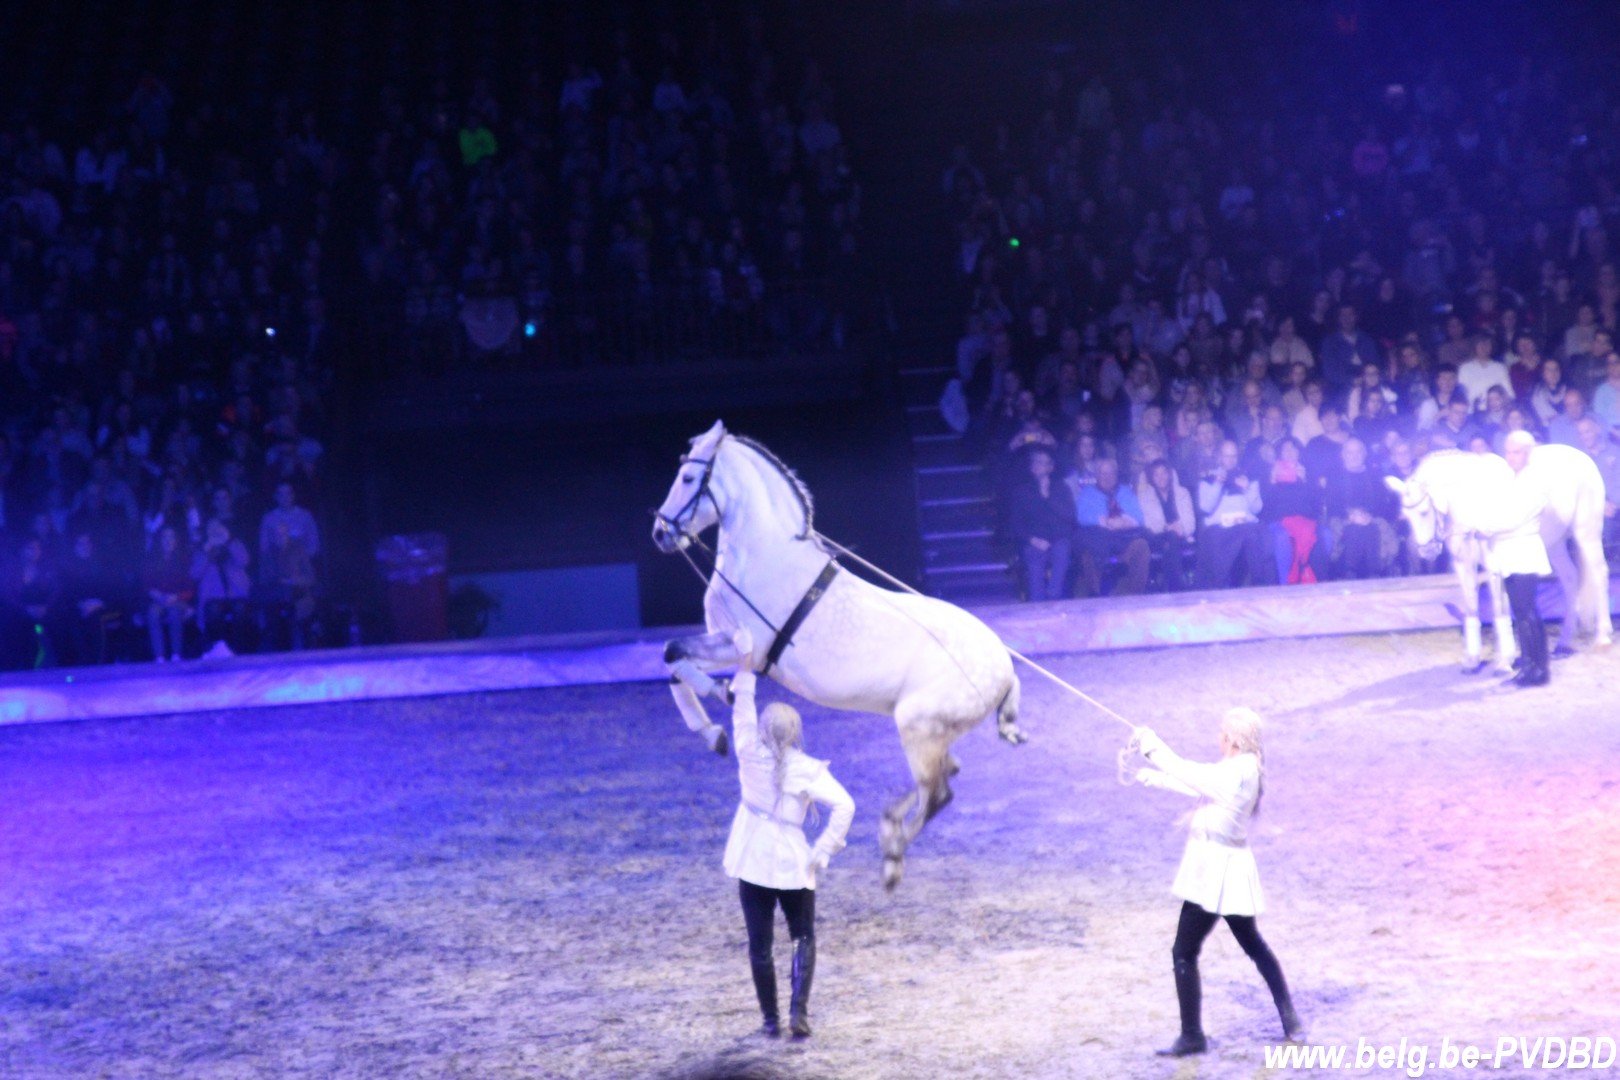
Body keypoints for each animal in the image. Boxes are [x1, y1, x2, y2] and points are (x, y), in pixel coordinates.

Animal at [648, 420, 1017, 887]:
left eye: (688, 477)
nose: (660, 533)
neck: (764, 558)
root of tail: (1005, 668)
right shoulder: (723, 643)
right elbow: (675, 661)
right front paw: (715, 724)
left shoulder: (741, 644)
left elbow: (674, 653)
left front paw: (720, 704)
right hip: (932, 734)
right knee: (944, 776)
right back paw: (889, 822)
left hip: (917, 728)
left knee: (938, 792)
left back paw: (892, 856)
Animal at [1386, 446, 1613, 667]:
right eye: (1407, 516)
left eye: (1424, 511)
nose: (1427, 551)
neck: (1468, 504)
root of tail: (1583, 457)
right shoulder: (1463, 564)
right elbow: (1471, 606)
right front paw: (1472, 659)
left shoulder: (1494, 566)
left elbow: (1498, 608)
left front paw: (1505, 659)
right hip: (1555, 544)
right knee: (1570, 578)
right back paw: (1563, 642)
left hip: (1586, 534)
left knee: (1599, 573)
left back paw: (1603, 638)